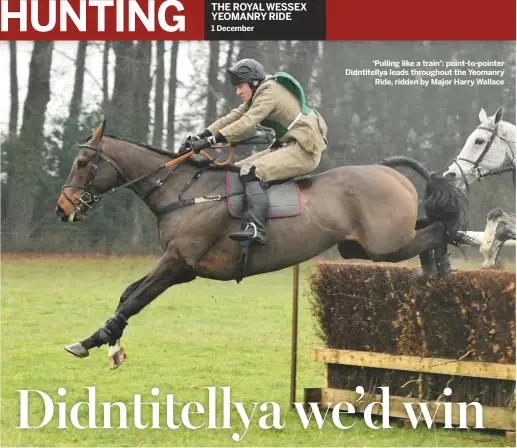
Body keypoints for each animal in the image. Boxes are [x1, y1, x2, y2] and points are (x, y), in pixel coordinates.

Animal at [56, 121, 468, 370]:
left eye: (82, 162)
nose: (62, 209)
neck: (183, 192)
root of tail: (391, 173)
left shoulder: (178, 264)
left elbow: (134, 300)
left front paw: (93, 339)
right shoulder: (178, 266)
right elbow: (128, 294)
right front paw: (110, 345)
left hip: (385, 244)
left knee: (437, 231)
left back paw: (441, 272)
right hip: (363, 245)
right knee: (429, 229)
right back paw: (433, 274)